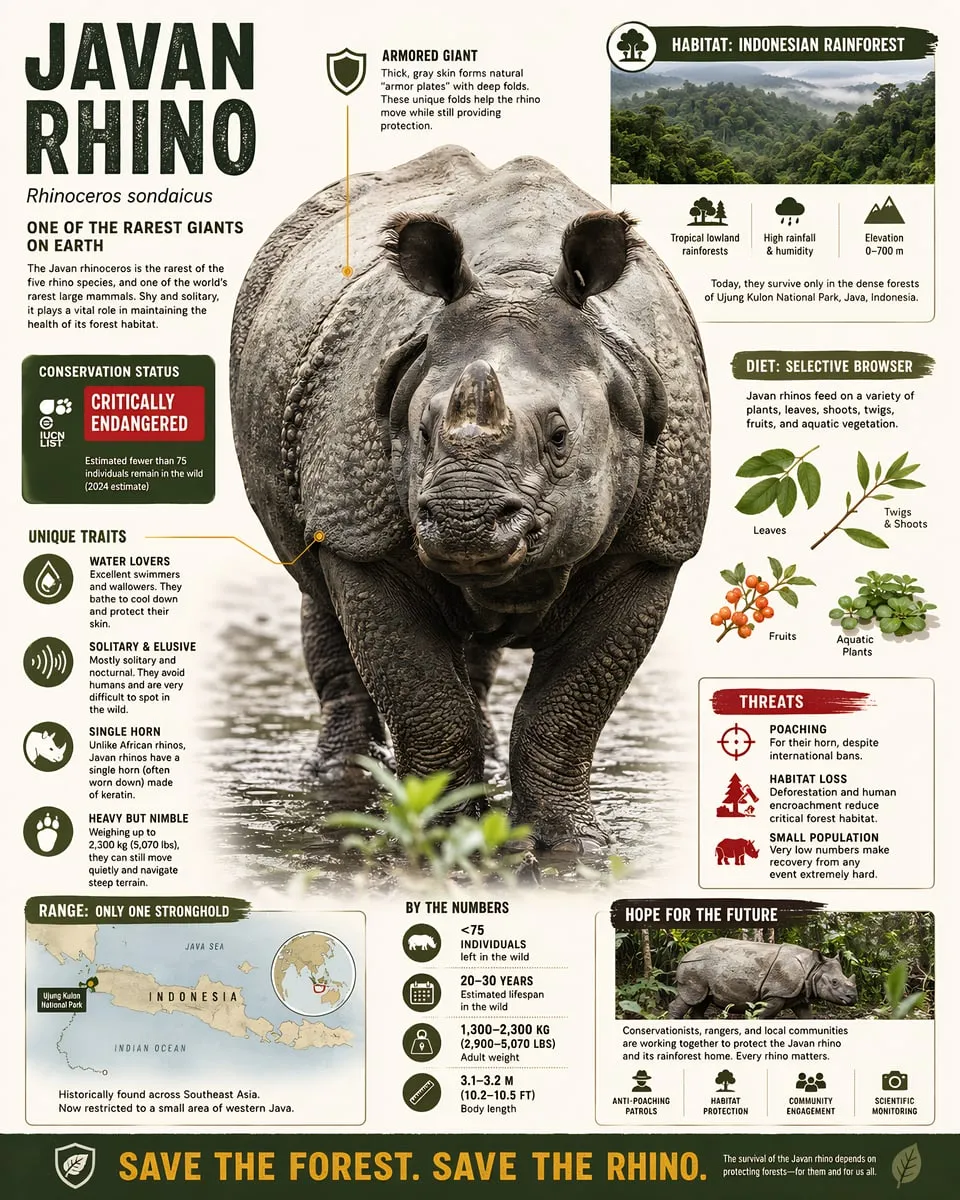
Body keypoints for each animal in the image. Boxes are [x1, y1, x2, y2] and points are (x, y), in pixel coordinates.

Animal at [230, 145, 710, 853]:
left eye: (560, 437)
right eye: (422, 431)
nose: (464, 519)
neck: (518, 276)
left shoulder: (656, 546)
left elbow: (567, 713)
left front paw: (575, 844)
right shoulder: (364, 534)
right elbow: (427, 702)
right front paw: (438, 830)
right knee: (315, 577)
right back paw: (340, 776)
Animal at [668, 938, 858, 1019]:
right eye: (834, 982)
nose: (853, 998)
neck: (811, 967)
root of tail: (685, 954)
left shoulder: (799, 995)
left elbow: (806, 1018)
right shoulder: (776, 994)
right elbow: (763, 1015)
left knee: (701, 1001)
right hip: (694, 967)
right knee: (691, 998)